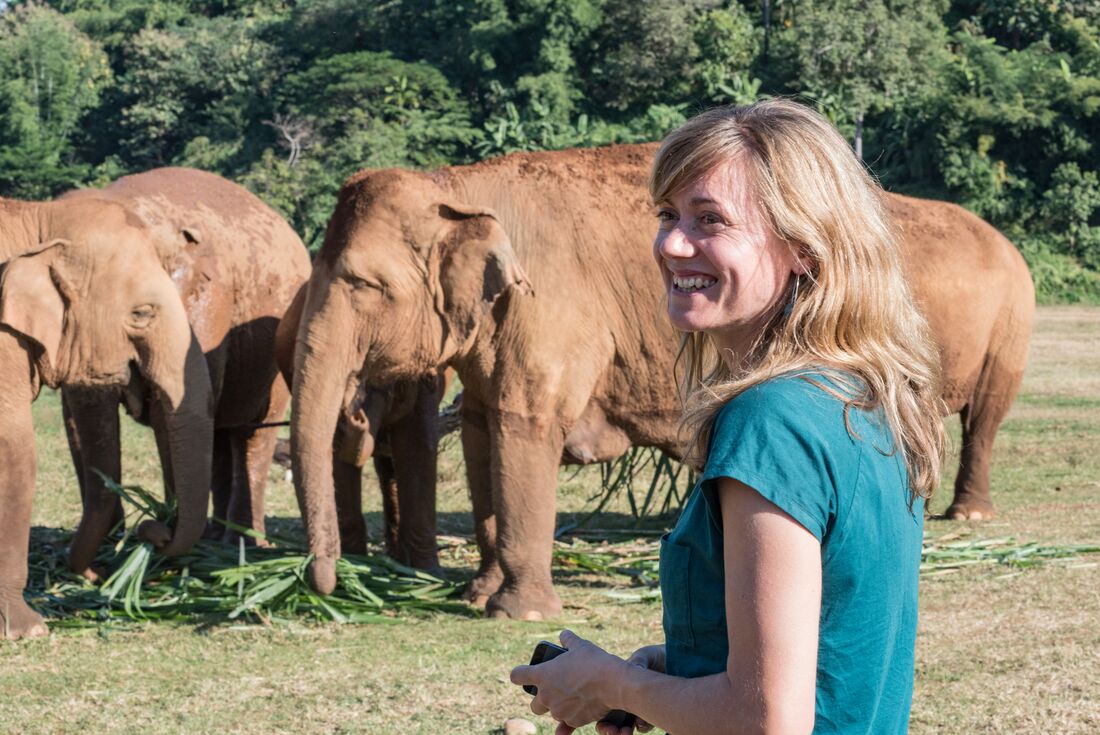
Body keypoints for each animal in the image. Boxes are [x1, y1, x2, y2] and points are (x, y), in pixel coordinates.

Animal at [60, 168, 310, 579]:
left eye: (140, 310)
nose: (149, 530)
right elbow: (74, 417)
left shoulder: (206, 305)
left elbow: (170, 414)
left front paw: (165, 549)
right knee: (221, 433)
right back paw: (215, 538)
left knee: (253, 434)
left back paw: (242, 545)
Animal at [288, 143, 1033, 620]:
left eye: (364, 284)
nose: (322, 584)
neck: (461, 186)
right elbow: (480, 430)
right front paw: (479, 595)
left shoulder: (552, 309)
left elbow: (524, 426)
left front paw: (519, 614)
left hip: (1013, 326)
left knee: (987, 416)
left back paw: (968, 515)